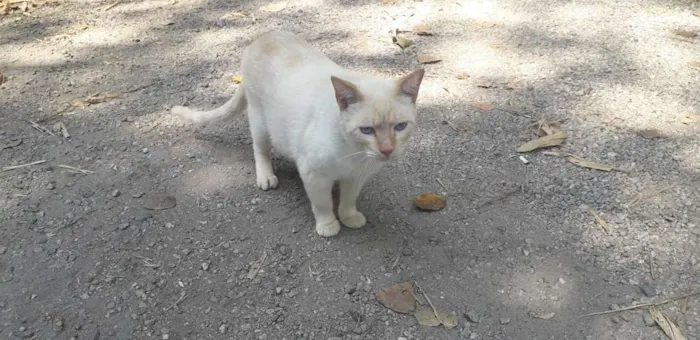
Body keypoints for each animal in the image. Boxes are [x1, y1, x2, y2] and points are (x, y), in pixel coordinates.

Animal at [172, 30, 424, 236]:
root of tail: (264, 36)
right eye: (367, 130)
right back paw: (266, 177)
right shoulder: (313, 174)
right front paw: (328, 225)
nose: (387, 150)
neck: (353, 154)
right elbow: (322, 204)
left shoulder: (356, 176)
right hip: (260, 121)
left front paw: (349, 217)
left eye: (400, 127)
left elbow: (348, 200)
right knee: (260, 149)